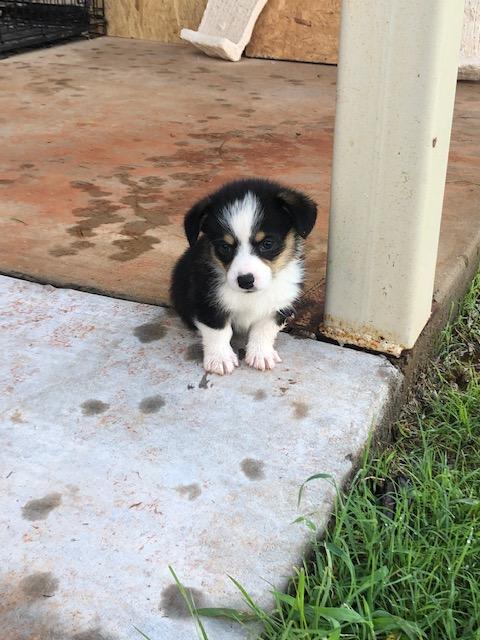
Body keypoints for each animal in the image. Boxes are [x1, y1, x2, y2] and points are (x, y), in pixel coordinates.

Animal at [170, 178, 317, 375]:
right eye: (225, 247)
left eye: (267, 243)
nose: (246, 281)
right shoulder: (206, 300)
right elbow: (218, 331)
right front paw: (220, 359)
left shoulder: (279, 304)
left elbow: (264, 330)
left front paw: (261, 354)